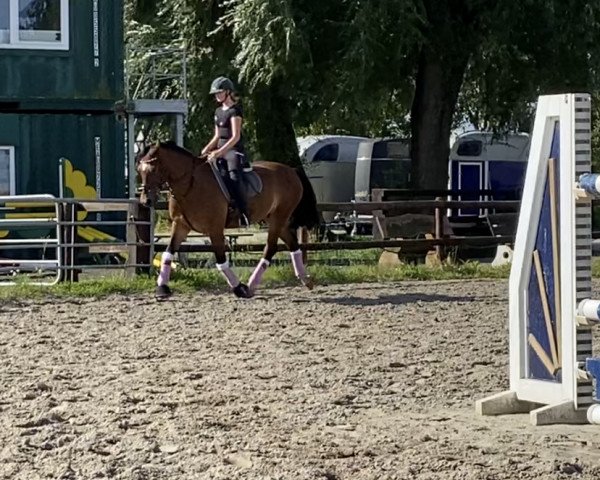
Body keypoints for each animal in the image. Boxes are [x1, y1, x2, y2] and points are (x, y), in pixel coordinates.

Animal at [137, 141, 322, 298]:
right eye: (140, 171)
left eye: (153, 170)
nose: (146, 201)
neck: (190, 183)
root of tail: (291, 170)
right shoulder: (180, 225)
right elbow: (168, 252)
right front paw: (162, 288)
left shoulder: (215, 229)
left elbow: (221, 260)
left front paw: (239, 288)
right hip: (274, 219)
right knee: (292, 244)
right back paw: (305, 279)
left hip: (279, 216)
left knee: (270, 247)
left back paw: (250, 286)